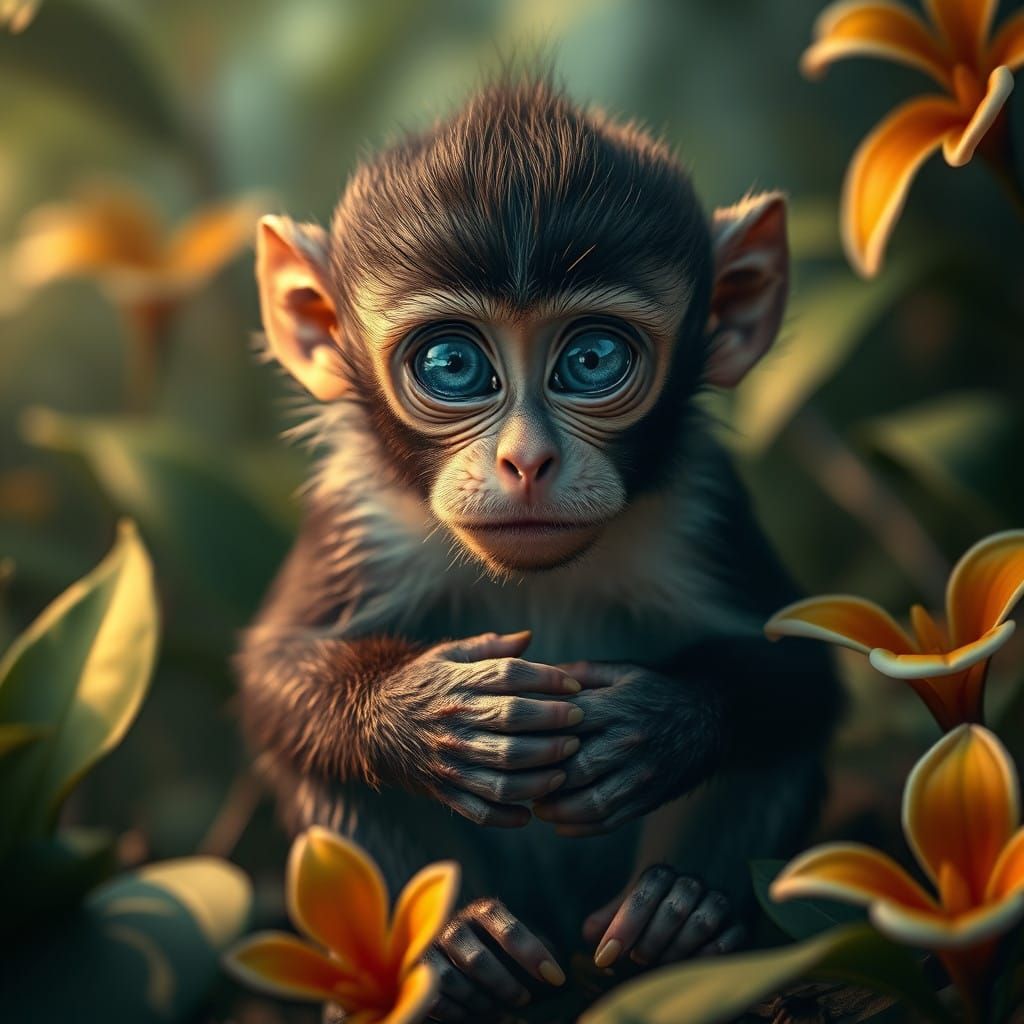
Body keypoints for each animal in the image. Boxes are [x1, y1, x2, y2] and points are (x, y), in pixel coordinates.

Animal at [236, 77, 842, 1022]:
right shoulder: (364, 513)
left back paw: (678, 919)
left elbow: (804, 672)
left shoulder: (701, 505)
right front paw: (429, 713)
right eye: (452, 365)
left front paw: (654, 725)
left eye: (590, 358)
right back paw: (458, 954)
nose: (526, 461)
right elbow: (273, 672)